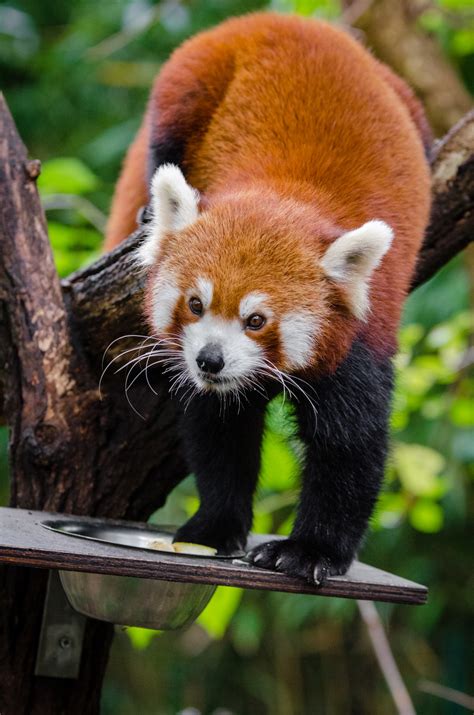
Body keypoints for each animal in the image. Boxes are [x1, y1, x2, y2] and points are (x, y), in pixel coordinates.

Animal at [107, 14, 434, 584]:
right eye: (196, 304)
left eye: (256, 320)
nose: (209, 360)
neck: (283, 194)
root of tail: (292, 20)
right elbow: (221, 433)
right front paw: (213, 530)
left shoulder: (357, 340)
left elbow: (349, 446)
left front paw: (311, 550)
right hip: (195, 72)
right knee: (165, 133)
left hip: (403, 98)